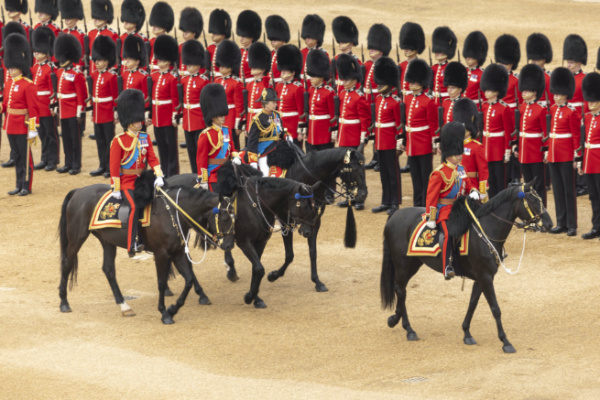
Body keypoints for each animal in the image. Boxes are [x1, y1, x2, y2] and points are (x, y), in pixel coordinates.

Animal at [57, 172, 237, 324]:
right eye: (225, 218)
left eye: (235, 217)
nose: (229, 244)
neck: (172, 212)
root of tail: (78, 191)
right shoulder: (161, 254)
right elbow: (162, 282)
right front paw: (164, 313)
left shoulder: (177, 252)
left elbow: (189, 280)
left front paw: (173, 309)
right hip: (77, 237)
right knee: (67, 263)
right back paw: (64, 302)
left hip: (107, 241)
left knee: (108, 270)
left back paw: (124, 305)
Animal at [169, 163, 320, 308]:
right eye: (304, 206)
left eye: (314, 206)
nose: (308, 231)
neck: (256, 205)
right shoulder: (244, 242)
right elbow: (259, 269)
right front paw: (249, 297)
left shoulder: (260, 242)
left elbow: (256, 269)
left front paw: (256, 299)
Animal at [380, 181, 553, 353]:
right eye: (533, 200)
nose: (549, 224)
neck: (488, 229)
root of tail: (395, 215)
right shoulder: (485, 276)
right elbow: (495, 308)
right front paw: (505, 341)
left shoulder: (482, 277)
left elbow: (473, 303)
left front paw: (466, 333)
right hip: (403, 263)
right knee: (401, 291)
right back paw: (409, 329)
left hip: (414, 262)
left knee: (399, 290)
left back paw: (394, 319)